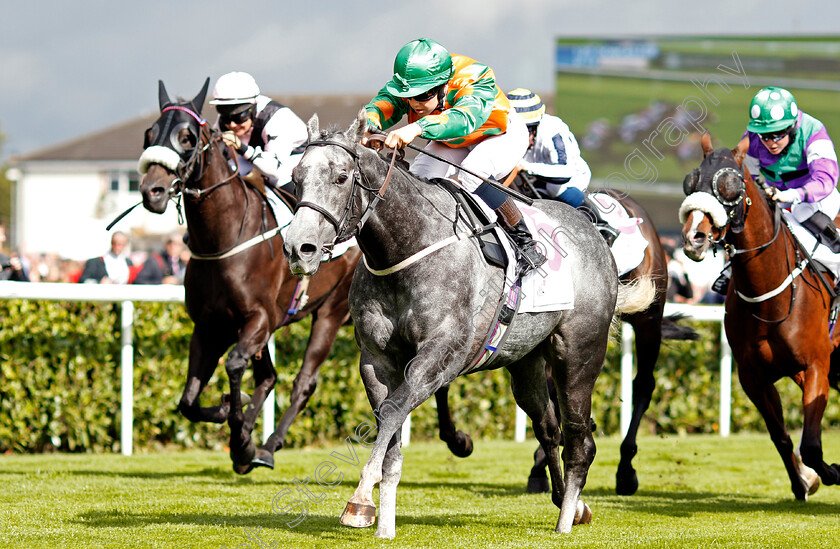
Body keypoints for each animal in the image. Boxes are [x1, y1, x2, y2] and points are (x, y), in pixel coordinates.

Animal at [138, 79, 360, 474]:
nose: (153, 191)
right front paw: (230, 416)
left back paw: (267, 445)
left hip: (330, 310)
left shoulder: (257, 318)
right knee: (268, 377)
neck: (223, 239)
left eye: (187, 137)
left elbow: (235, 364)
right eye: (150, 133)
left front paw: (240, 435)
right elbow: (188, 401)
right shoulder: (209, 326)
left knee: (304, 381)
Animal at [282, 109, 656, 536]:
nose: (298, 248)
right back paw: (572, 505)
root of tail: (593, 232)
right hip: (525, 362)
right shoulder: (376, 360)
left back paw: (566, 520)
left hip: (578, 355)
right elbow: (388, 425)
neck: (409, 246)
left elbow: (394, 411)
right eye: (296, 176)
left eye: (342, 177)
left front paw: (360, 498)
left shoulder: (441, 354)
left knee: (581, 440)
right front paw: (381, 517)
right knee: (549, 428)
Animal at [680, 132, 836, 496]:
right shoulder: (753, 377)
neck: (769, 300)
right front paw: (803, 481)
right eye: (690, 181)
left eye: (729, 186)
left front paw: (831, 472)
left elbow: (811, 445)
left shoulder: (816, 366)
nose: (694, 238)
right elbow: (780, 436)